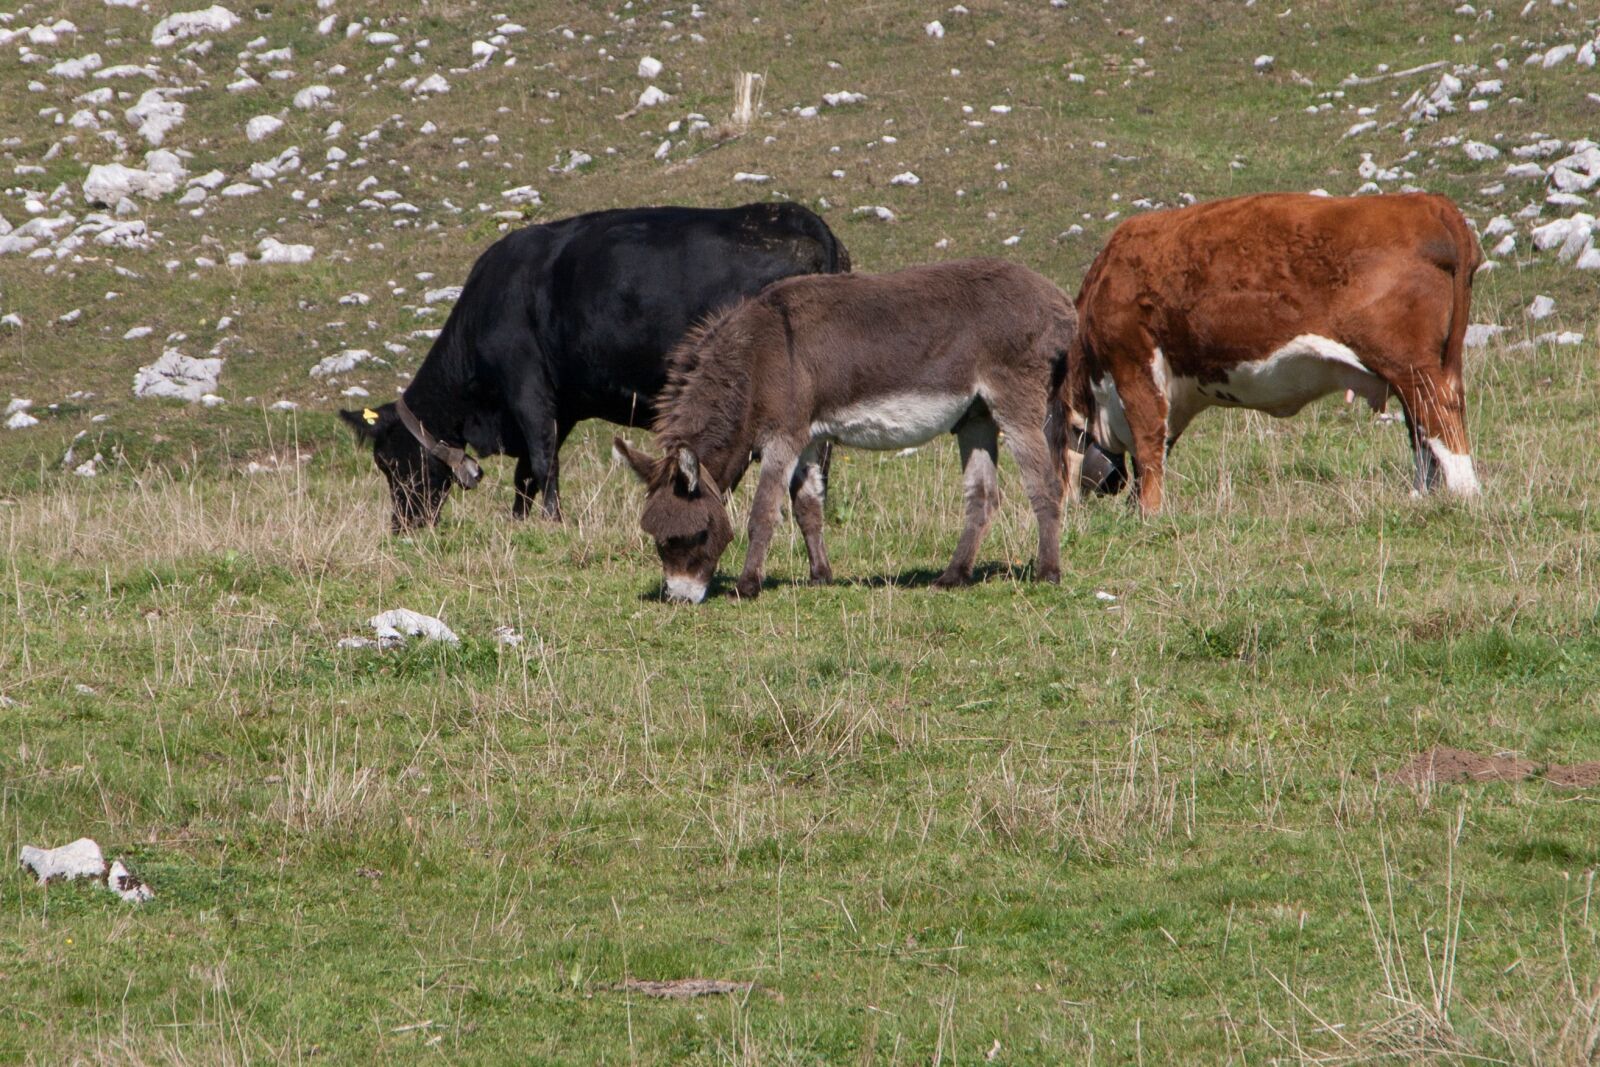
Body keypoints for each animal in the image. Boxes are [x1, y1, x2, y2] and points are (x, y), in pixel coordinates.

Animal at [339, 202, 850, 531]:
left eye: (389, 462)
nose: (402, 527)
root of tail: (801, 219)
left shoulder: (526, 387)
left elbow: (542, 459)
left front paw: (552, 521)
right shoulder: (561, 401)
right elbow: (528, 470)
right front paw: (520, 521)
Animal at [1067, 192, 1483, 514]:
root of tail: (1427, 202)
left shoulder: (1134, 362)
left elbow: (1149, 440)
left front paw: (1147, 513)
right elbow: (1157, 445)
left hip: (1410, 366)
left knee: (1440, 415)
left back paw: (1463, 494)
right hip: (1423, 368)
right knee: (1422, 429)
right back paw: (1421, 495)